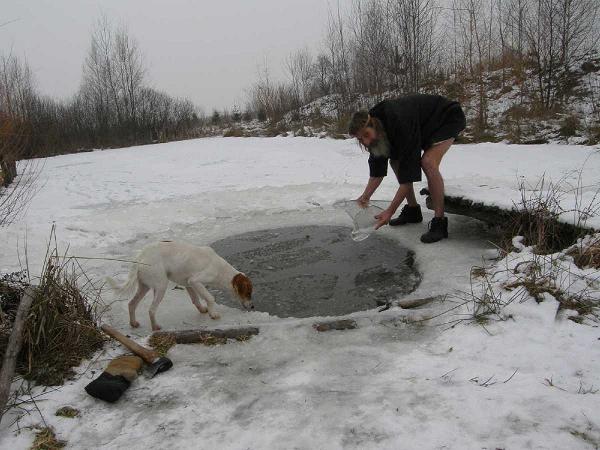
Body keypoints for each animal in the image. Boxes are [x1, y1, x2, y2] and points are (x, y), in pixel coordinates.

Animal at [108, 239, 253, 330]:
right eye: (248, 293)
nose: (252, 307)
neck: (221, 269)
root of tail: (140, 256)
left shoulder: (189, 284)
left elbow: (196, 300)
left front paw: (203, 310)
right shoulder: (195, 281)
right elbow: (210, 298)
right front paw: (213, 314)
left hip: (145, 287)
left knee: (131, 304)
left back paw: (133, 323)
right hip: (161, 286)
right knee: (151, 309)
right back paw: (155, 327)